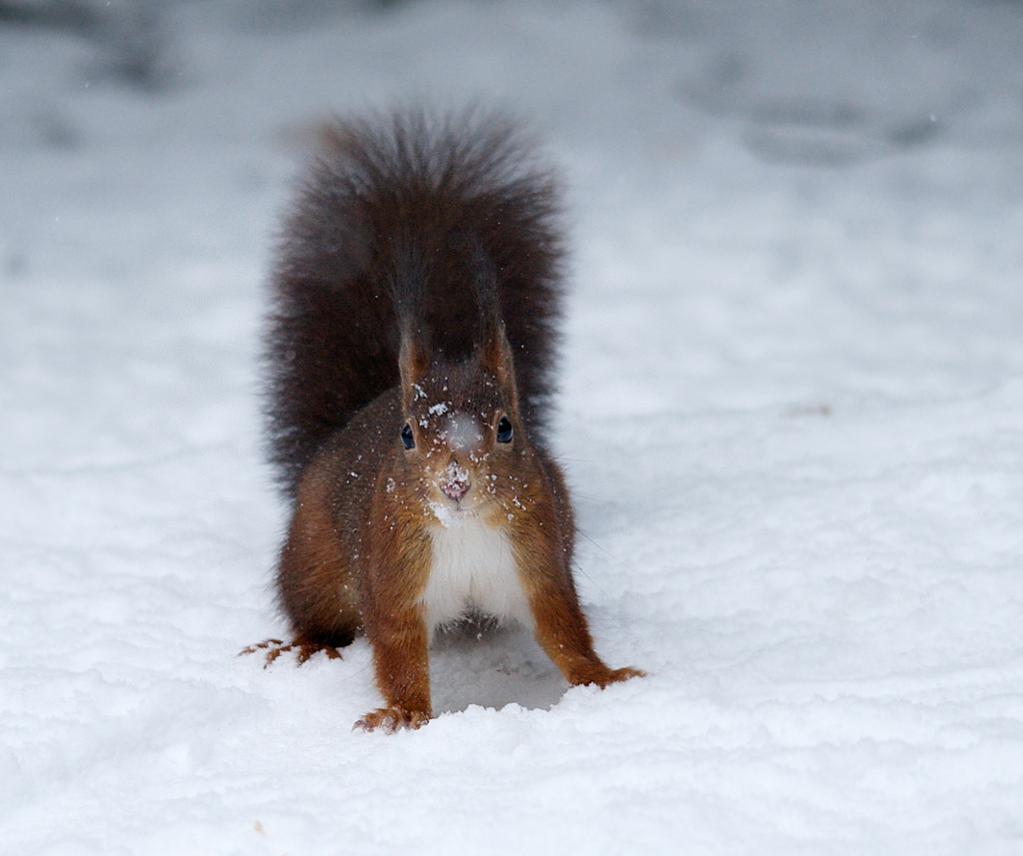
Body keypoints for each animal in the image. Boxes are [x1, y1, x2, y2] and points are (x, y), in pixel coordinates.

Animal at [244, 109, 643, 732]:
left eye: (506, 428)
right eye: (408, 434)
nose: (455, 483)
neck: (467, 530)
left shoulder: (539, 564)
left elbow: (565, 631)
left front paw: (604, 678)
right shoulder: (394, 578)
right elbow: (397, 649)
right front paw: (403, 715)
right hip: (314, 563)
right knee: (316, 613)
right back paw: (306, 647)